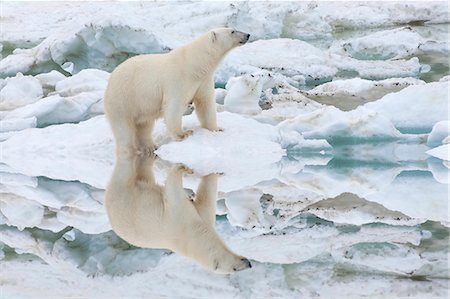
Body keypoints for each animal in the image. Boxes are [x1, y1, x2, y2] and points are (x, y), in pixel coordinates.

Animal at [104, 28, 250, 156]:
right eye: (232, 31)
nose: (248, 35)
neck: (194, 65)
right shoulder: (178, 79)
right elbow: (174, 107)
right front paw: (184, 134)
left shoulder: (203, 80)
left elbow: (205, 103)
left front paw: (216, 128)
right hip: (123, 98)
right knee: (123, 129)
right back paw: (130, 149)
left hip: (141, 106)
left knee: (144, 125)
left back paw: (150, 147)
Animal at [106, 155, 253, 274]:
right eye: (235, 267)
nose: (249, 263)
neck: (190, 236)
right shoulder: (178, 219)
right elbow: (174, 190)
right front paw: (184, 168)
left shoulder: (198, 218)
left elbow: (205, 199)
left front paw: (215, 173)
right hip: (125, 196)